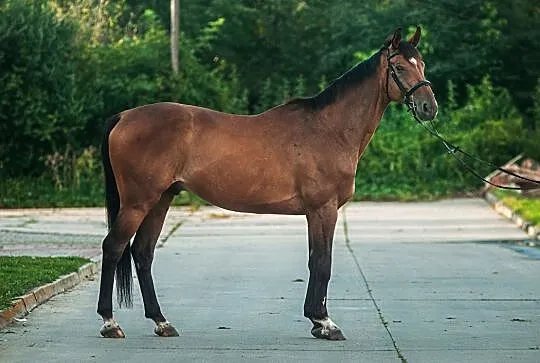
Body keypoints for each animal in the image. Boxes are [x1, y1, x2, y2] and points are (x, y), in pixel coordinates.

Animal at [98, 27, 438, 342]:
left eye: (421, 63)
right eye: (399, 67)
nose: (429, 108)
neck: (330, 129)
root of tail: (123, 116)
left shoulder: (316, 212)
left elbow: (316, 260)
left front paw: (317, 321)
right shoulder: (323, 209)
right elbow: (322, 262)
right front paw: (325, 323)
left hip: (161, 199)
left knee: (143, 252)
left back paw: (162, 322)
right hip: (138, 202)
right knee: (113, 247)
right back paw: (110, 323)